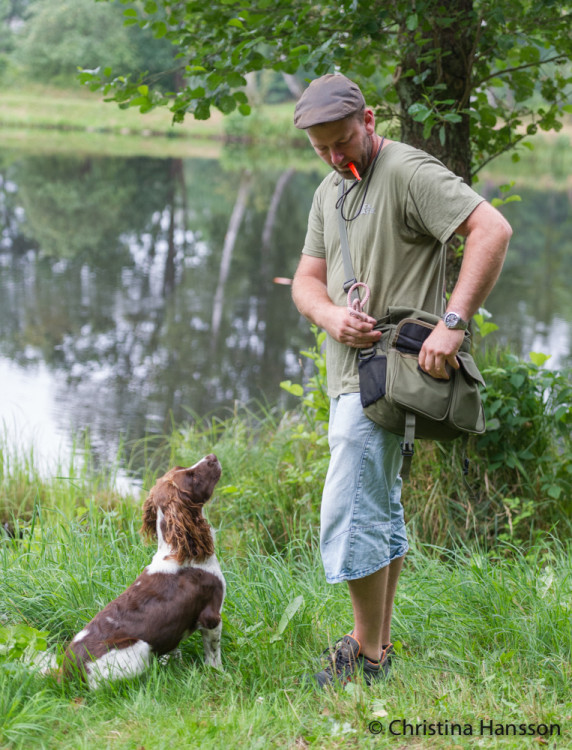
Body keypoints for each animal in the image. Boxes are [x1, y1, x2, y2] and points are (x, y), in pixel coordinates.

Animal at [61, 456, 225, 692]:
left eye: (180, 467)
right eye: (191, 476)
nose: (212, 457)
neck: (178, 551)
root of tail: (68, 675)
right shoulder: (211, 615)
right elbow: (213, 654)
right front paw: (219, 674)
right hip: (139, 647)